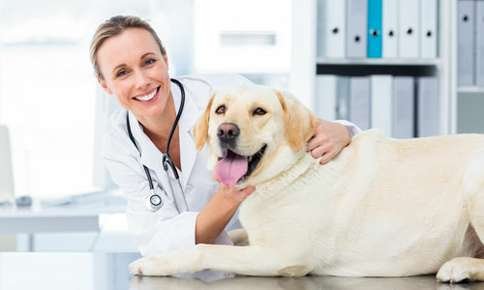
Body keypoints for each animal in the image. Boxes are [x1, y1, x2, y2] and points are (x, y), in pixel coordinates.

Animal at [129, 84, 484, 284]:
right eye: (220, 109)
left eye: (259, 111)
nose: (225, 131)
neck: (287, 172)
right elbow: (231, 234)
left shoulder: (279, 256)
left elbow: (204, 249)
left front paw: (153, 262)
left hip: (474, 184)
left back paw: (458, 267)